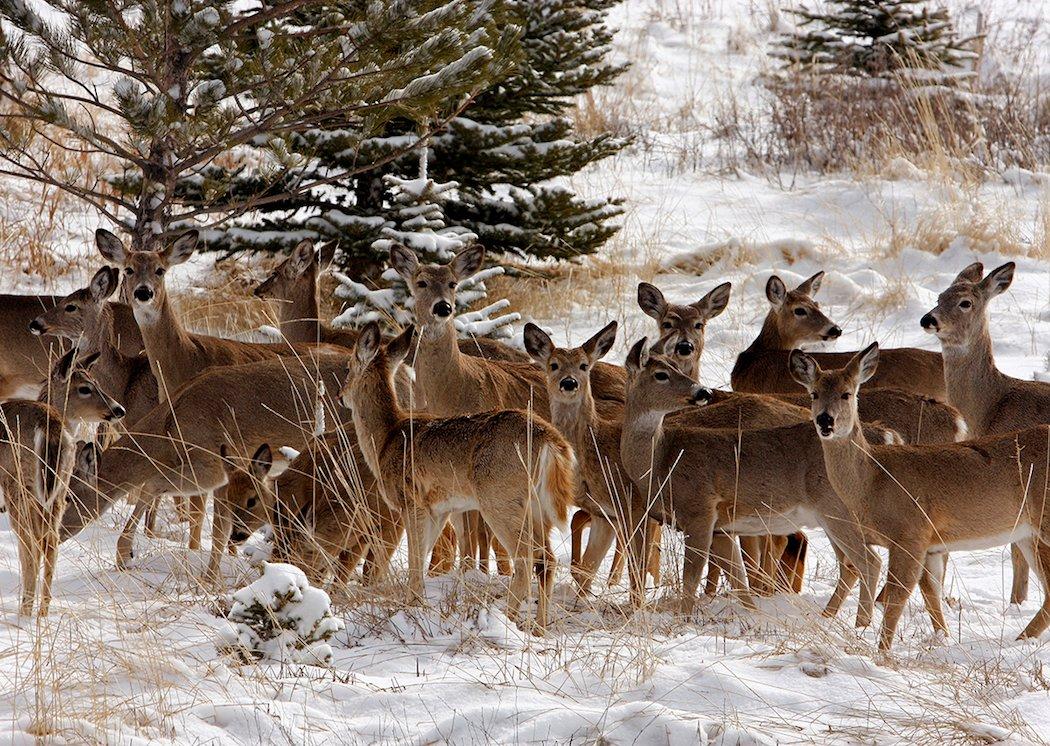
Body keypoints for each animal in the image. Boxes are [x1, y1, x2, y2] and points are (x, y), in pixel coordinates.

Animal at [0, 401, 76, 617]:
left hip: (17, 483)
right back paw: (42, 611)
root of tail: (49, 423)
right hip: (58, 488)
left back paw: (25, 610)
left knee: (30, 544)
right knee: (50, 540)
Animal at [340, 323, 575, 634]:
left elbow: (415, 561)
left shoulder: (411, 501)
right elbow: (423, 559)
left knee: (527, 557)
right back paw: (538, 627)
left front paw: (411, 608)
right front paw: (416, 604)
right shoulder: (439, 510)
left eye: (347, 367)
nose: (340, 395)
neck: (386, 439)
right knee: (546, 559)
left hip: (500, 498)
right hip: (536, 505)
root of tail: (549, 439)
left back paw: (505, 619)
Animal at [789, 346, 1050, 651]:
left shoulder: (910, 534)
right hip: (1026, 532)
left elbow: (898, 595)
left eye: (847, 393)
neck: (873, 481)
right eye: (814, 393)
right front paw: (943, 638)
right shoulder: (930, 544)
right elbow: (930, 592)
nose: (825, 420)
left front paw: (883, 651)